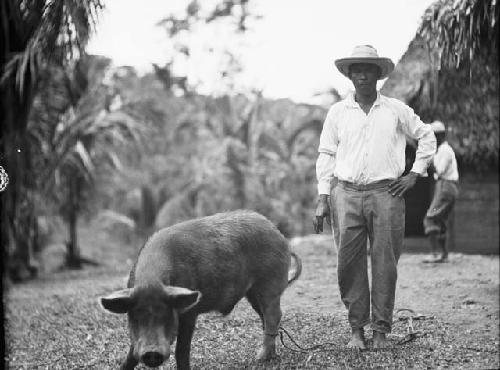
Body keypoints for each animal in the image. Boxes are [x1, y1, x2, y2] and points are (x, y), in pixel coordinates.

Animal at [100, 210, 300, 368]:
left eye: (166, 315)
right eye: (136, 316)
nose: (152, 353)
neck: (150, 280)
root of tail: (279, 234)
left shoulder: (190, 312)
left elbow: (182, 350)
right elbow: (131, 353)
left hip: (269, 282)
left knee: (274, 315)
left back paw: (259, 358)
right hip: (252, 292)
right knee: (265, 316)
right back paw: (269, 355)